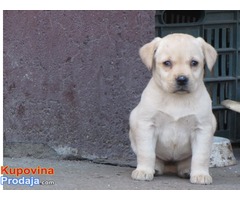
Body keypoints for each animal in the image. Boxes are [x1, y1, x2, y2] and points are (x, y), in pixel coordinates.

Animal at [129, 32, 218, 184]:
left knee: (186, 162)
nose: (182, 79)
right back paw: (155, 168)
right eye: (167, 63)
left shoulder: (202, 129)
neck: (177, 98)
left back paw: (187, 170)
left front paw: (200, 174)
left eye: (194, 63)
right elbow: (147, 152)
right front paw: (144, 171)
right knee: (157, 159)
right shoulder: (147, 125)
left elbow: (201, 156)